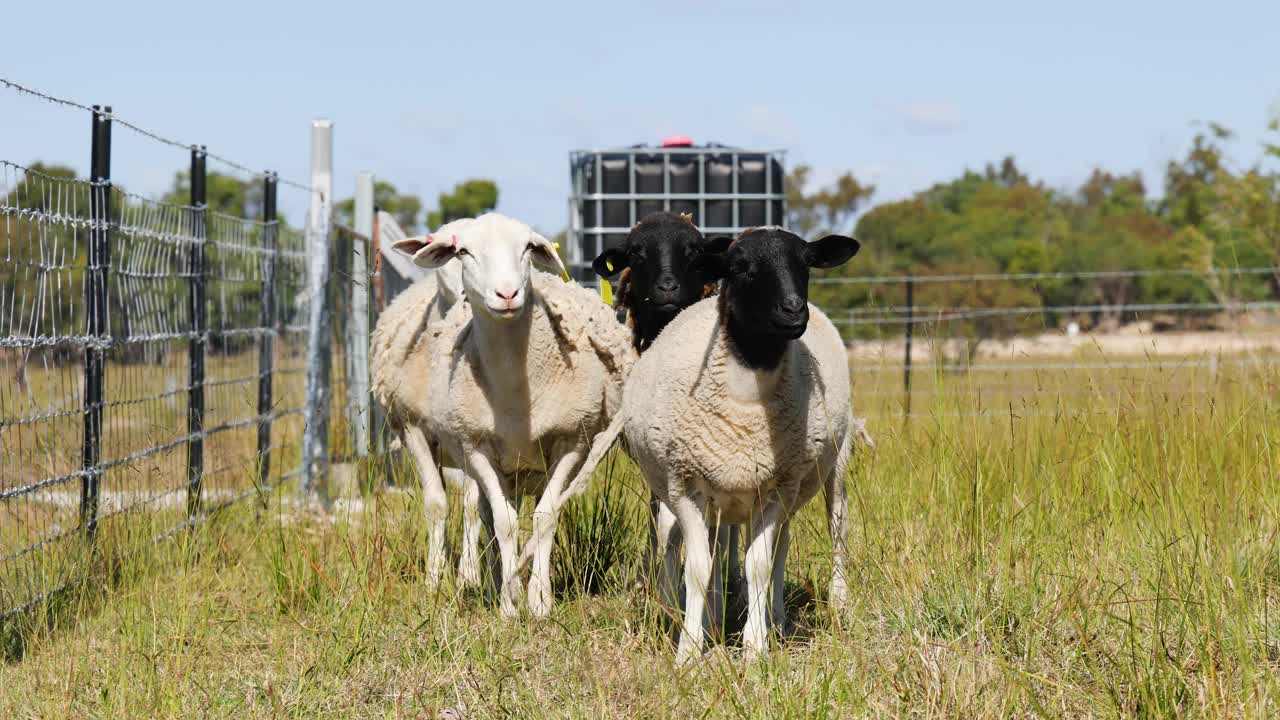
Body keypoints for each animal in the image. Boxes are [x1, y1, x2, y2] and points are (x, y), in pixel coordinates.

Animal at [396, 210, 632, 614]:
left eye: (527, 248)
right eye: (462, 252)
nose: (507, 294)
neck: (515, 389)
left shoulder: (571, 442)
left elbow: (545, 516)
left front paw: (539, 601)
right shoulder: (475, 447)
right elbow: (503, 522)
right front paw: (509, 602)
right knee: (482, 514)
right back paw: (479, 583)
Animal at [555, 226, 865, 661]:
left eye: (806, 264)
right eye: (739, 267)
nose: (793, 310)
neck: (746, 402)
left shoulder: (774, 489)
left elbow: (757, 566)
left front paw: (754, 647)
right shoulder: (687, 486)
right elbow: (699, 569)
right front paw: (689, 647)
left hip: (830, 464)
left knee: (835, 524)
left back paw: (826, 606)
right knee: (770, 543)